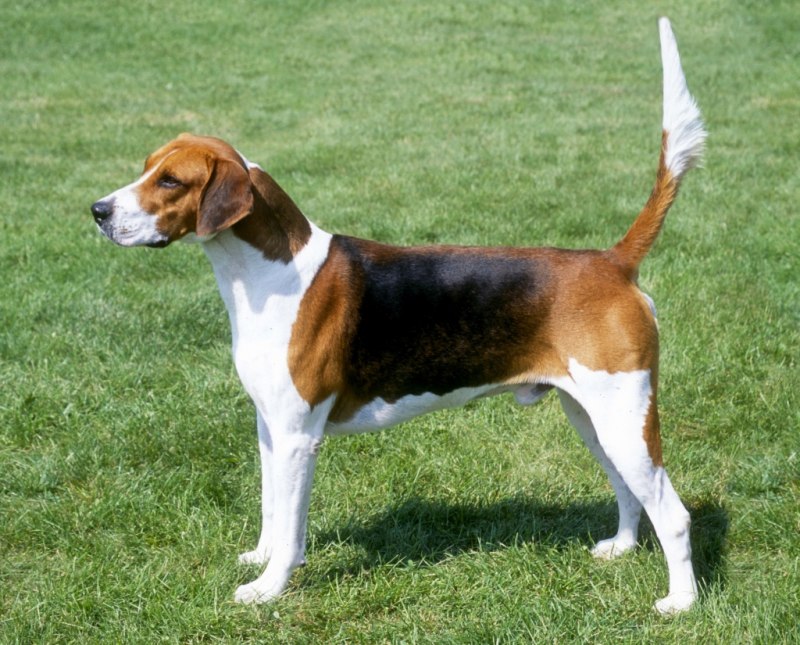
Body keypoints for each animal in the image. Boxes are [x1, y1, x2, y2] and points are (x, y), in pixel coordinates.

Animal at [91, 18, 705, 614]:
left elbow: (291, 530)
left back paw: (682, 602)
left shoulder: (297, 437)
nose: (97, 211)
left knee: (672, 513)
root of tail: (613, 261)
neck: (271, 274)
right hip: (592, 416)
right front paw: (258, 559)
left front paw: (268, 589)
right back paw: (621, 547)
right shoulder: (269, 425)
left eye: (171, 181)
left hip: (623, 417)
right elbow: (271, 510)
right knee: (628, 491)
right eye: (146, 169)